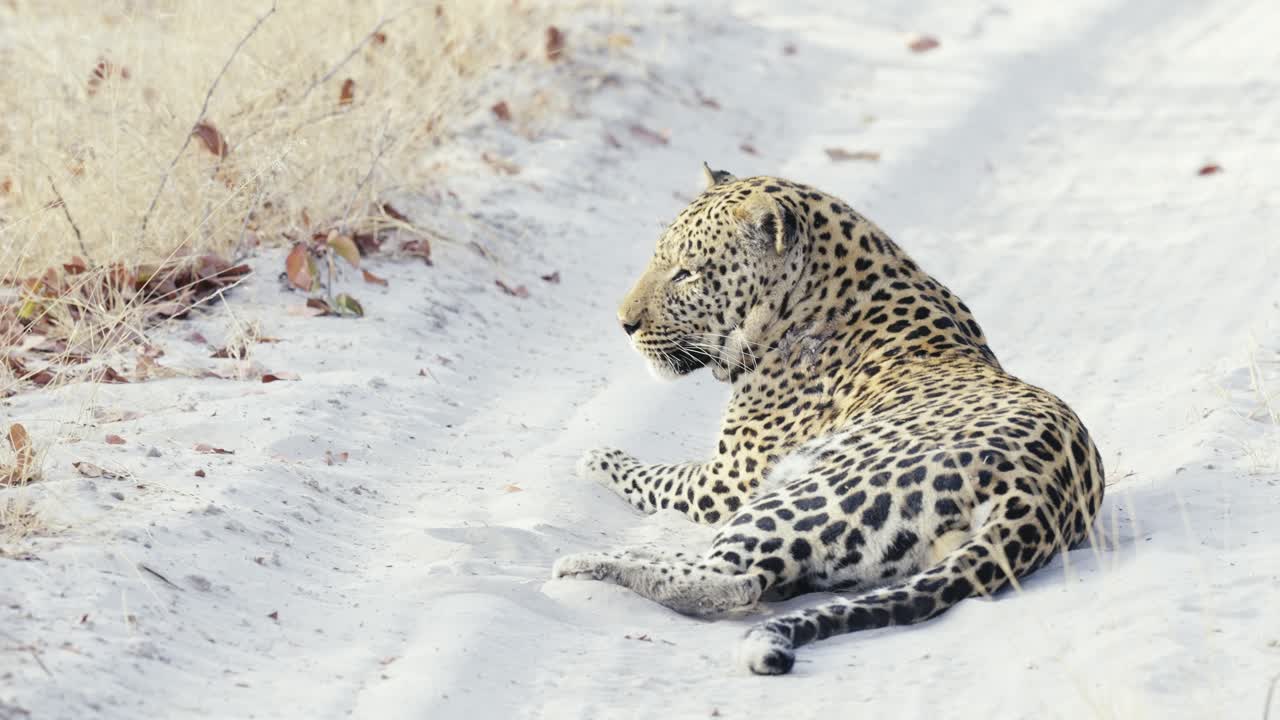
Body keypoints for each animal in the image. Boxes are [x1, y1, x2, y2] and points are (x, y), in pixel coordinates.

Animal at [552, 164, 1105, 675]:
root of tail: (1035, 501)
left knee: (729, 579)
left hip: (803, 493)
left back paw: (583, 565)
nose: (624, 323)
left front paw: (597, 456)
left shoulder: (724, 481)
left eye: (686, 273)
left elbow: (658, 475)